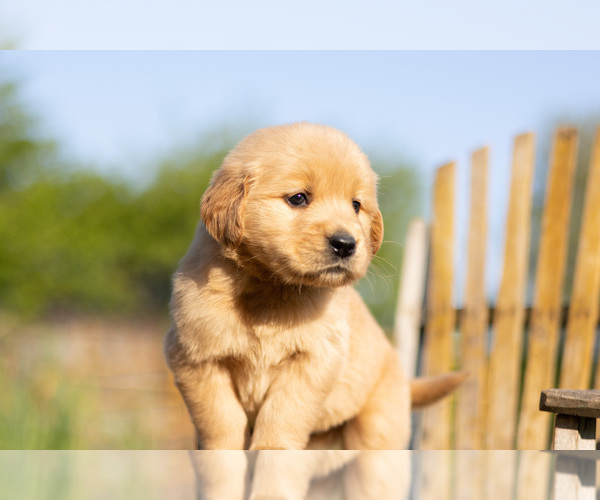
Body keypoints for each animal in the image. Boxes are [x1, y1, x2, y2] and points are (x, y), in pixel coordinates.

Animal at [165, 123, 464, 452]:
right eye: (298, 198)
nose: (346, 244)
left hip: (378, 426)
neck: (271, 287)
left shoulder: (315, 361)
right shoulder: (195, 359)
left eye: (356, 205)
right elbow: (220, 421)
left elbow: (282, 417)